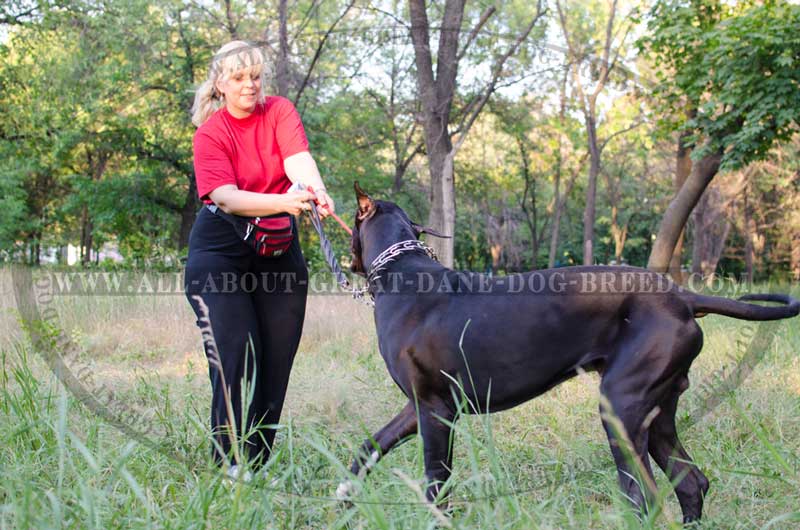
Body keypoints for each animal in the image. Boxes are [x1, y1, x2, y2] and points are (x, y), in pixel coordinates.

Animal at [338, 184, 800, 520]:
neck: (402, 274)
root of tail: (683, 298)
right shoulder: (417, 407)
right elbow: (368, 447)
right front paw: (343, 497)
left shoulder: (436, 412)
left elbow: (437, 487)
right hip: (658, 411)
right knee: (690, 482)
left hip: (621, 406)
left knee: (646, 496)